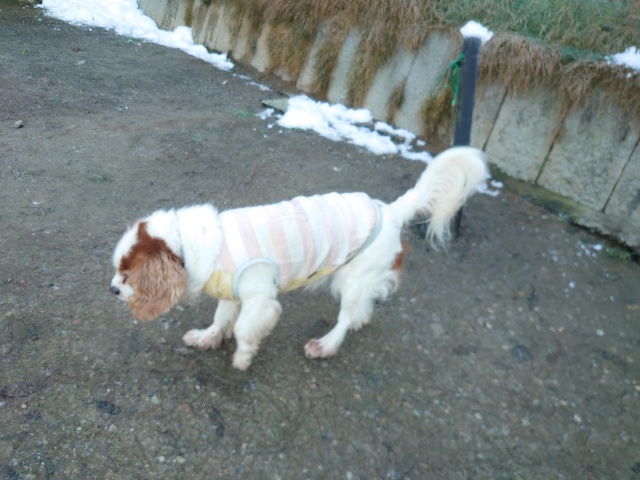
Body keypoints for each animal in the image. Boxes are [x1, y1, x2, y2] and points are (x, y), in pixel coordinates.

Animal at [110, 146, 488, 370]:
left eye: (126, 275)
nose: (112, 290)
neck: (191, 246)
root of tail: (392, 210)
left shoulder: (260, 297)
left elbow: (245, 327)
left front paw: (243, 355)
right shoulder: (230, 291)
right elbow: (221, 318)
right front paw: (207, 338)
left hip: (351, 280)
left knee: (344, 317)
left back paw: (327, 344)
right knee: (365, 303)